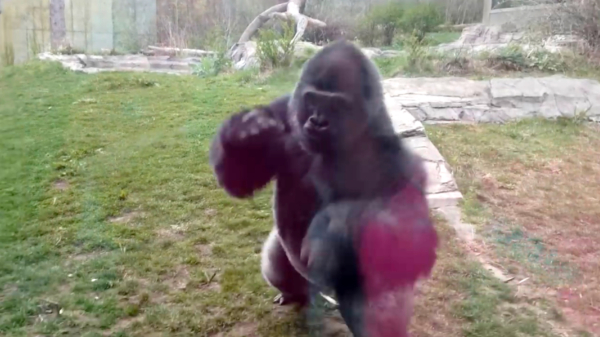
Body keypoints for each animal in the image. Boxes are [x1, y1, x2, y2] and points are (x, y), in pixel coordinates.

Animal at [209, 40, 438, 336]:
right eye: (313, 100)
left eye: (336, 105)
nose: (317, 121)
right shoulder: (283, 110)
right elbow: (240, 179)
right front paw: (243, 135)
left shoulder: (394, 152)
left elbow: (413, 236)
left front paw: (334, 227)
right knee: (275, 263)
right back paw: (295, 294)